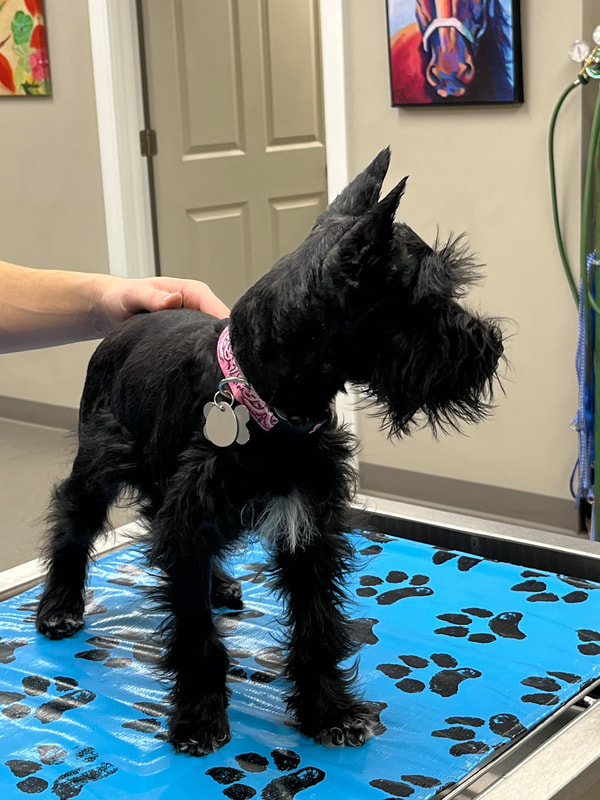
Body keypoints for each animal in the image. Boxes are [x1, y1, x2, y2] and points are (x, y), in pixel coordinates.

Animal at [34, 148, 502, 756]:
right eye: (430, 299)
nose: (492, 345)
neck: (266, 405)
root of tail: (127, 324)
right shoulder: (190, 526)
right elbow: (195, 632)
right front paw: (199, 716)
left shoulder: (308, 530)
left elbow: (317, 626)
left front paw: (329, 711)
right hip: (98, 463)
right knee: (73, 523)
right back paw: (60, 606)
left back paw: (220, 583)